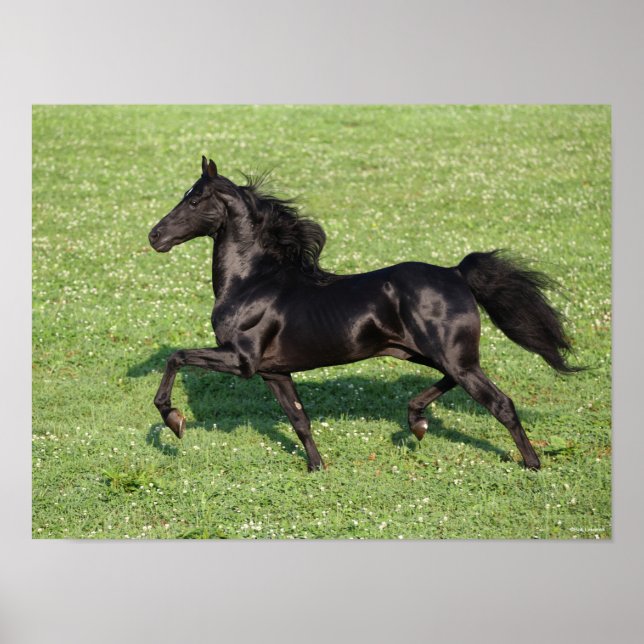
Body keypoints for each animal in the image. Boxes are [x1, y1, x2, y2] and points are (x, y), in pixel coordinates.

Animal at [148, 156, 580, 472]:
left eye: (193, 200)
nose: (155, 236)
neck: (253, 281)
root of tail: (456, 272)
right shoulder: (274, 372)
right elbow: (299, 419)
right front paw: (317, 468)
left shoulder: (241, 361)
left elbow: (176, 357)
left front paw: (174, 420)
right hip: (428, 353)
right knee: (452, 383)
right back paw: (416, 421)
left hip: (451, 357)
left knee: (500, 403)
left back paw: (532, 463)